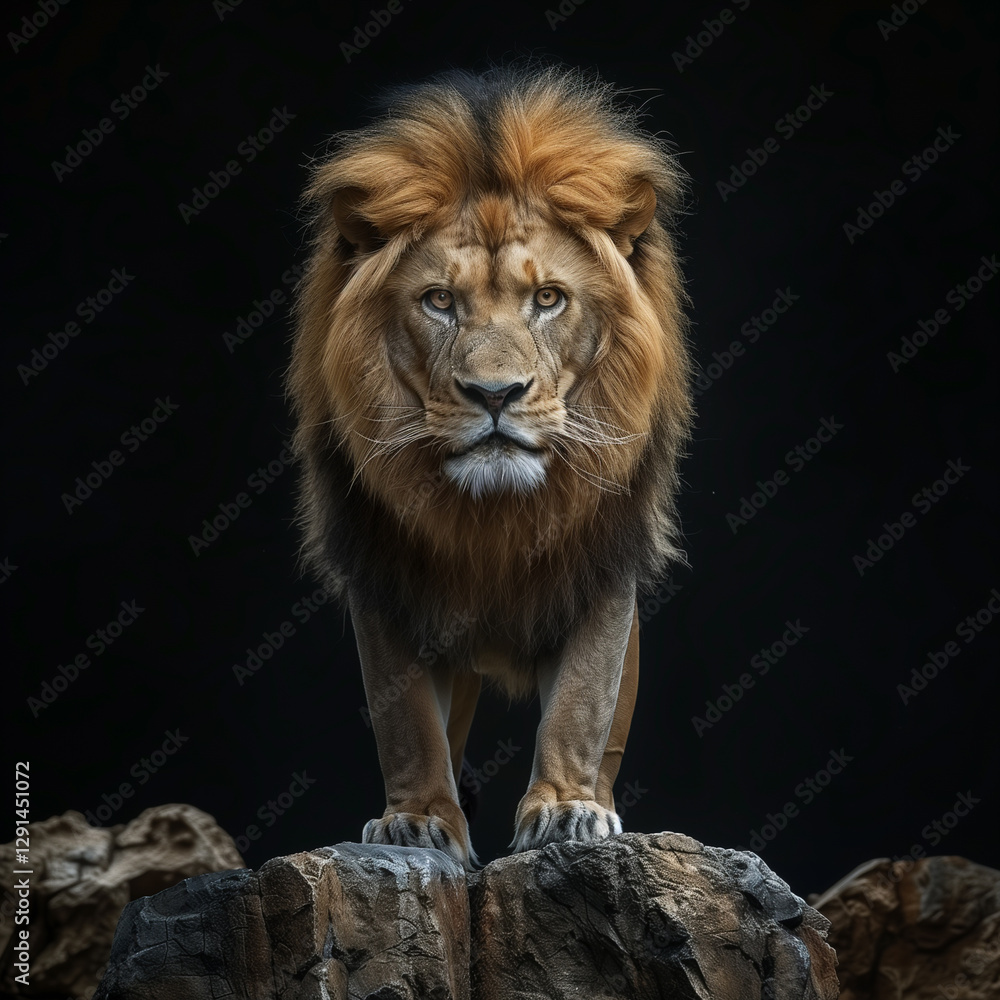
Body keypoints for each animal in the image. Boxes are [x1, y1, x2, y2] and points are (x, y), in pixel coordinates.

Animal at [287, 64, 692, 869]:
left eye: (549, 299)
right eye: (440, 300)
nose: (496, 394)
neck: (493, 513)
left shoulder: (602, 563)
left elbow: (582, 700)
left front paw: (566, 808)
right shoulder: (383, 569)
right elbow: (407, 722)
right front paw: (417, 821)